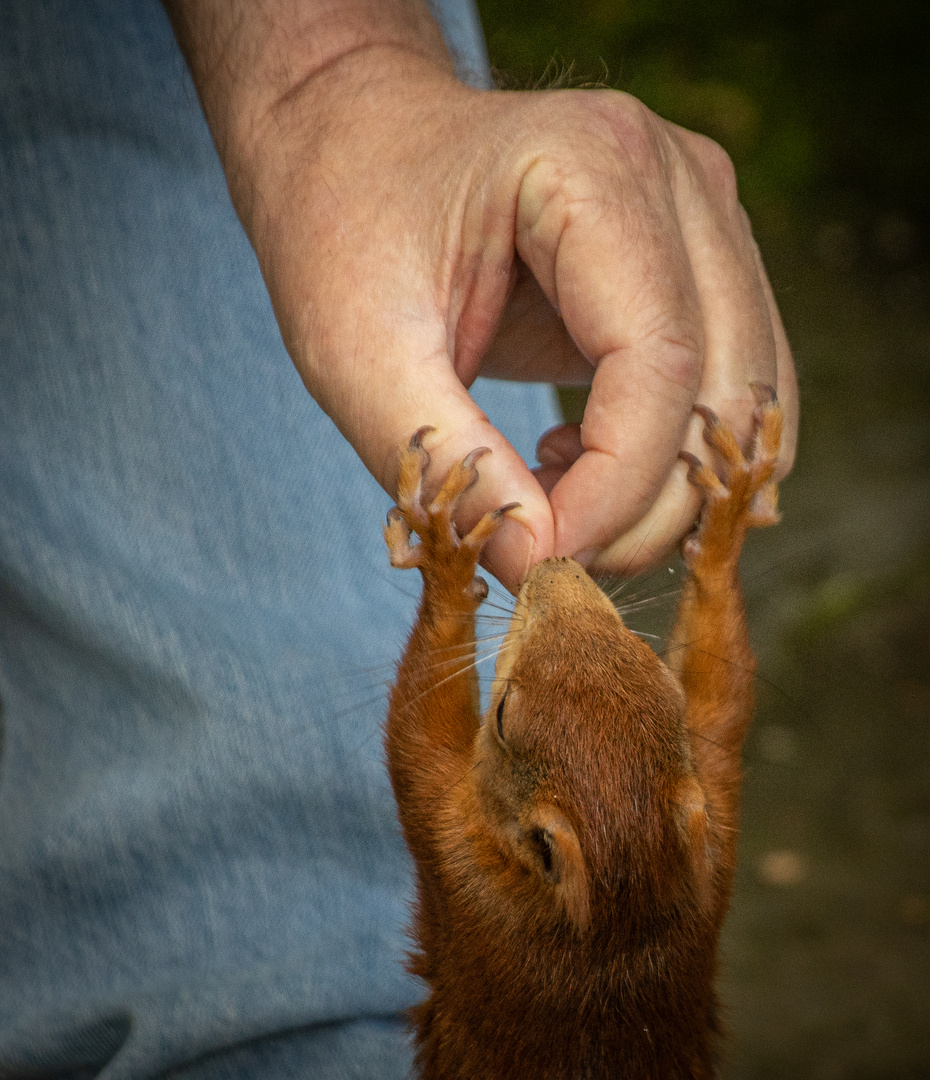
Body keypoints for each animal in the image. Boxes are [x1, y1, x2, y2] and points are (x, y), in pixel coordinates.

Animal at [380, 388, 782, 1080]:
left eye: (503, 716)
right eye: (660, 678)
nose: (554, 564)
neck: (619, 922)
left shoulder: (455, 863)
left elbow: (415, 730)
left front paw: (441, 552)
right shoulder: (716, 820)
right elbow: (724, 697)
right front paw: (729, 511)